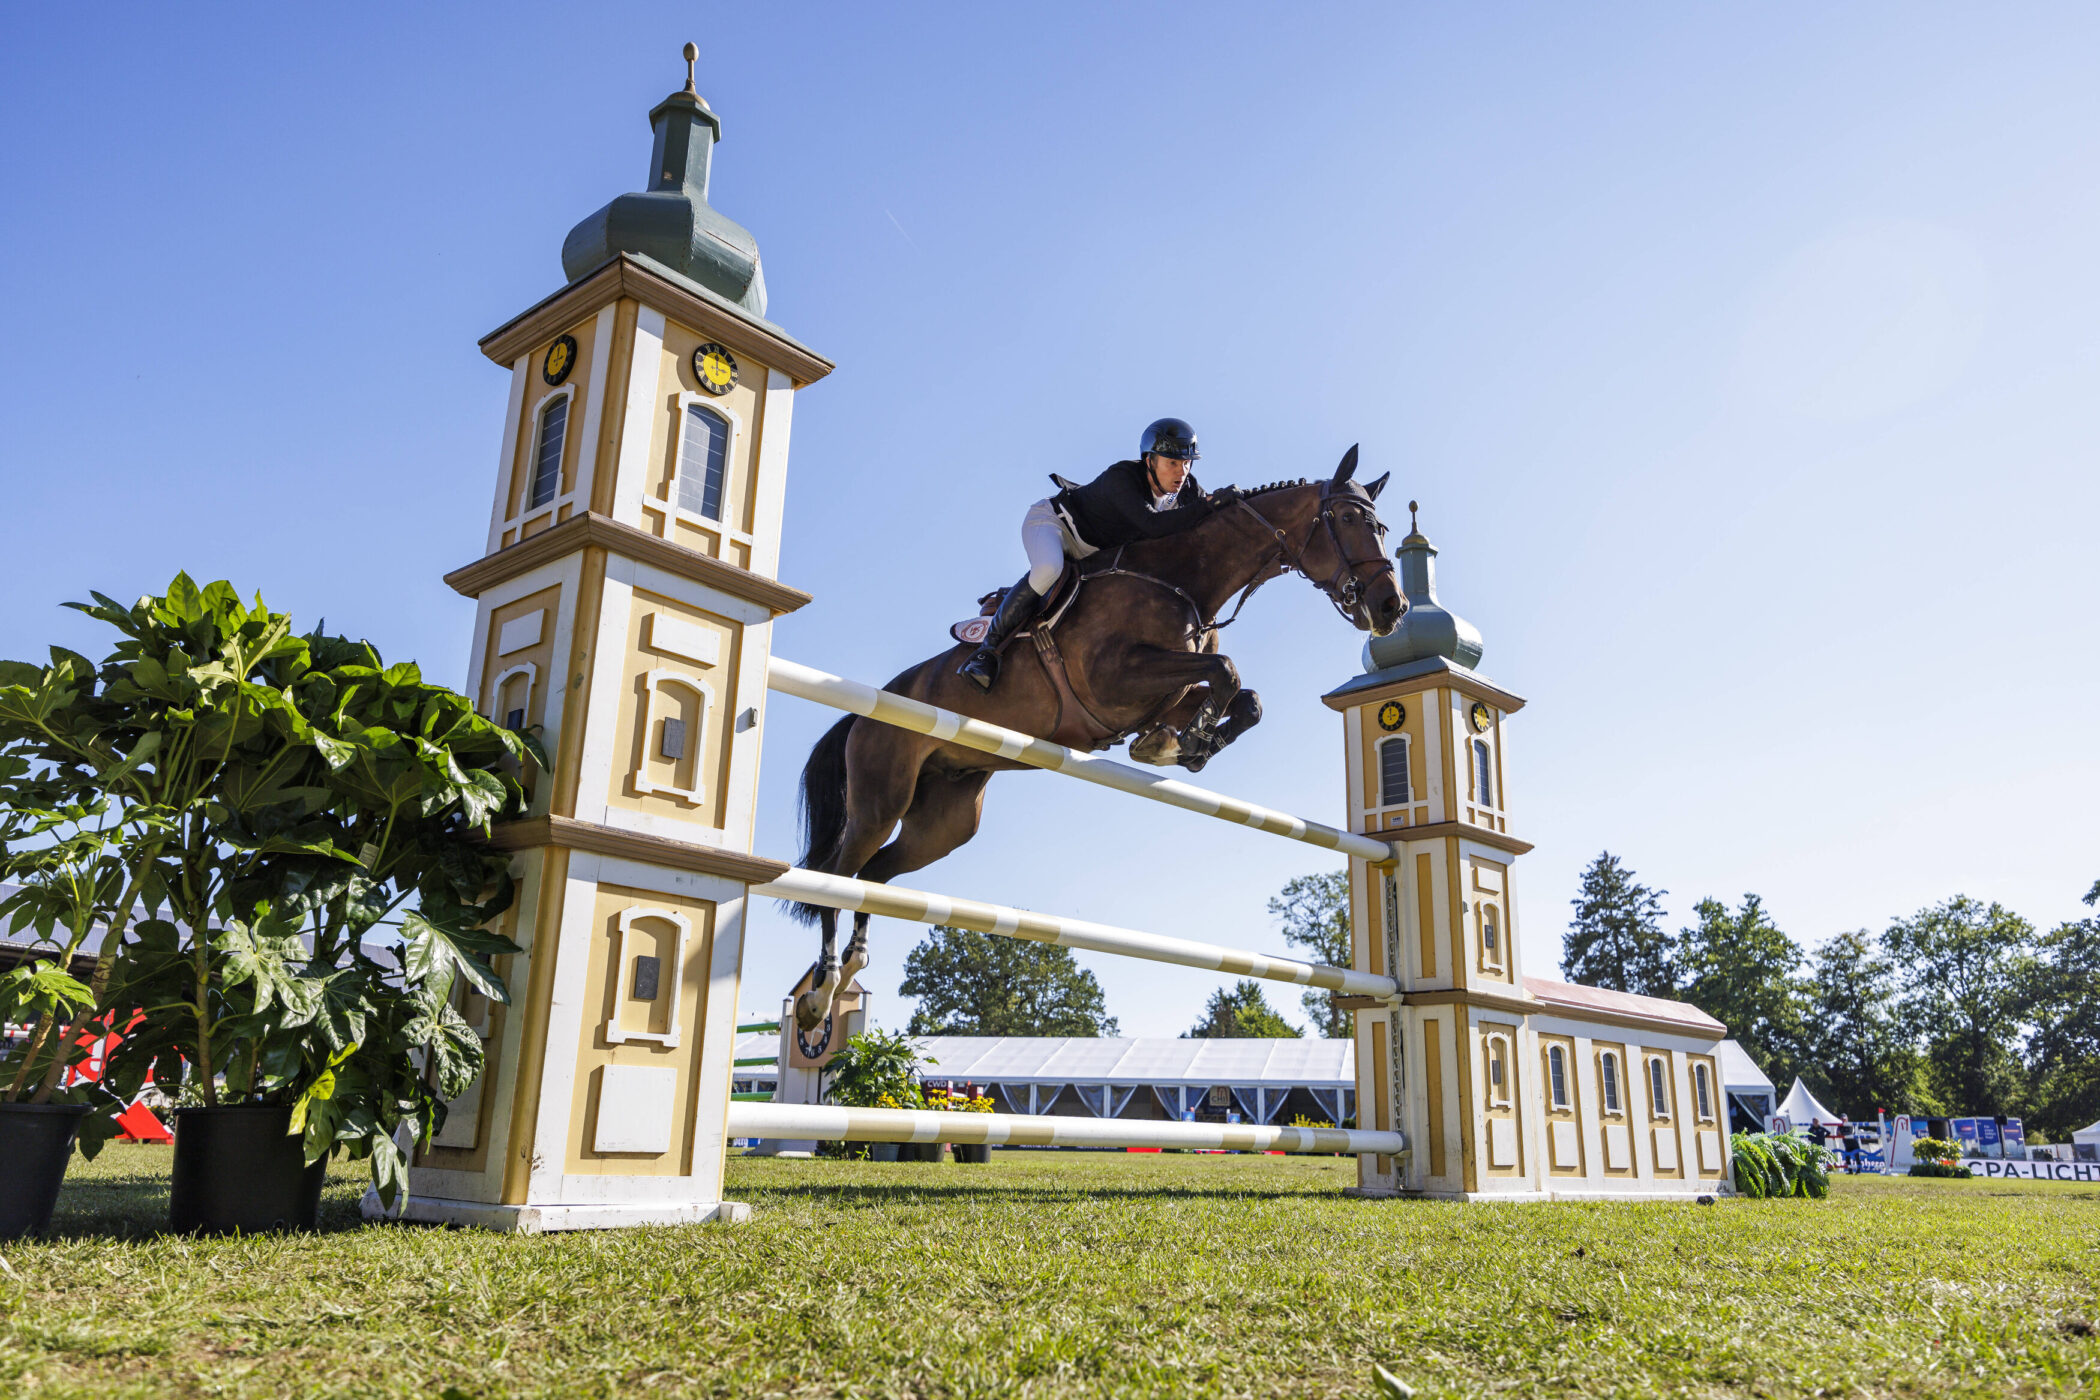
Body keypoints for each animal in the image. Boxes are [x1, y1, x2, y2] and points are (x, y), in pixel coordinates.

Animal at [787, 446, 1405, 1033]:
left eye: (1382, 526)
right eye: (1348, 519)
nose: (1390, 607)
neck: (1184, 578)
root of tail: (866, 711)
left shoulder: (1166, 688)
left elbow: (1242, 695)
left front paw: (1178, 745)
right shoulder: (1114, 679)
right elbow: (1225, 669)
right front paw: (1182, 743)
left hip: (945, 821)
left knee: (874, 876)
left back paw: (848, 972)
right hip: (880, 796)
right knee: (839, 873)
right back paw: (822, 990)